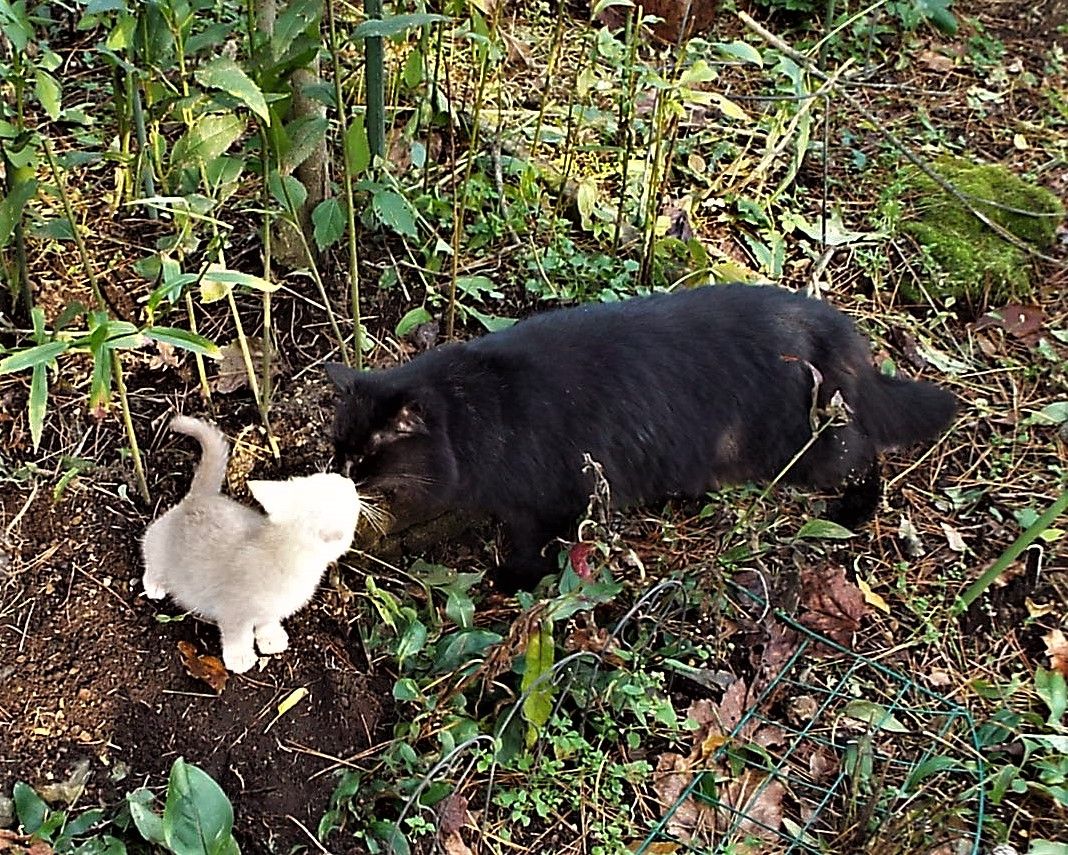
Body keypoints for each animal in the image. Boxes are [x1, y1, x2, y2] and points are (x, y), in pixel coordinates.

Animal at [142, 416, 360, 674]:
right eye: (347, 499)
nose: (348, 480)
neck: (284, 551)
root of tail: (199, 498)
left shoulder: (271, 609)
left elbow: (267, 621)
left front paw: (271, 638)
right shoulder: (232, 610)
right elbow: (237, 635)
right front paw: (240, 658)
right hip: (158, 544)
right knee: (150, 558)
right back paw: (155, 584)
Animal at [326, 283, 961, 589]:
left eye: (365, 458)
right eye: (337, 448)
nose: (337, 476)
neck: (480, 410)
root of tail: (833, 327)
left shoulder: (547, 498)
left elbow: (532, 547)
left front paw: (511, 580)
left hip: (813, 446)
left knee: (866, 453)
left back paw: (857, 511)